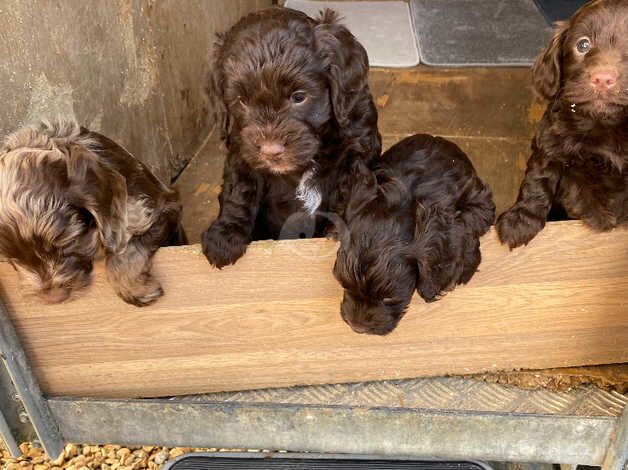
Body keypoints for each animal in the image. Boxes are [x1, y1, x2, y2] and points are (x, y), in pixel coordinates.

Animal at [0, 119, 186, 306]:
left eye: (67, 244)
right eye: (13, 260)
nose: (54, 298)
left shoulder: (158, 207)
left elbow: (127, 248)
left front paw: (135, 288)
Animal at [201, 6, 380, 268]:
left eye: (299, 97)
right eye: (242, 101)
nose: (270, 151)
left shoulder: (356, 146)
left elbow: (353, 186)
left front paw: (341, 228)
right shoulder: (242, 153)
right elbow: (239, 191)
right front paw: (225, 234)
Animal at [498, 0, 624, 250]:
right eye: (583, 45)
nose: (602, 79)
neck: (604, 123)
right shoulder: (550, 143)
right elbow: (538, 181)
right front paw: (520, 221)